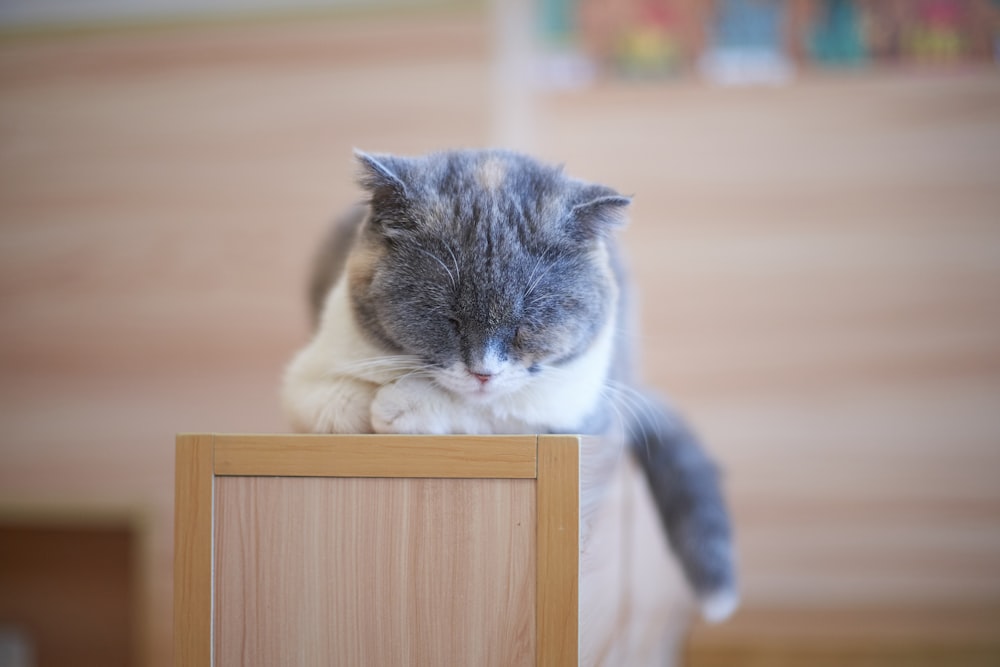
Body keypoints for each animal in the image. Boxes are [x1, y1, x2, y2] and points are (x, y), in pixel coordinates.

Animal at [280, 149, 736, 624]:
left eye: (525, 323)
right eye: (449, 318)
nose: (483, 373)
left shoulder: (582, 413)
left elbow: (492, 410)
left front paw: (405, 405)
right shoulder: (306, 377)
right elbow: (334, 400)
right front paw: (376, 401)